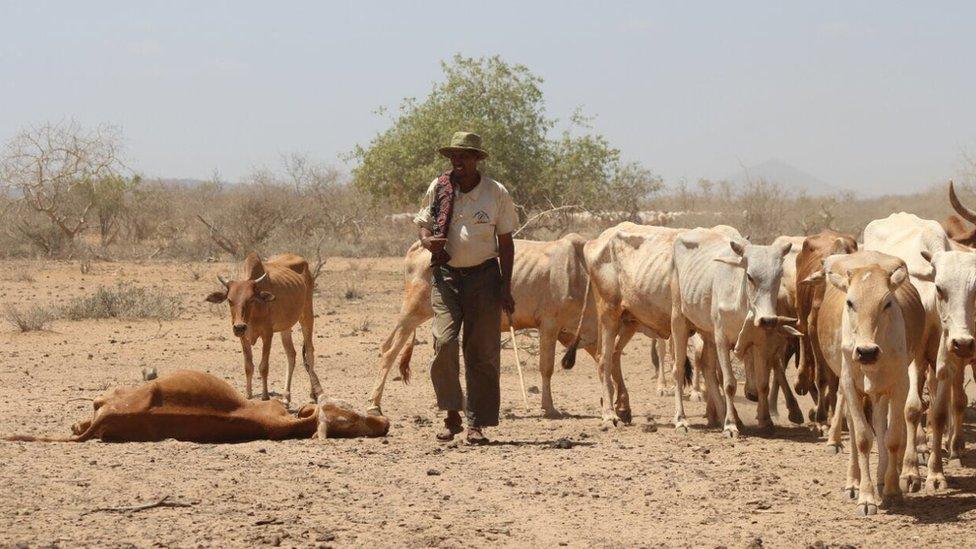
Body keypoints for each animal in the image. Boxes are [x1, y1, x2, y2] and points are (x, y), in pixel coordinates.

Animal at [204, 252, 322, 402]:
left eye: (251, 299)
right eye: (230, 300)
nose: (239, 326)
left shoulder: (267, 334)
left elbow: (263, 366)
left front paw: (265, 395)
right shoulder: (243, 337)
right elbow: (248, 366)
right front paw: (248, 394)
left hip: (306, 314)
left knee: (309, 351)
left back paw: (313, 394)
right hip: (286, 327)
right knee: (291, 354)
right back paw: (286, 395)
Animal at [672, 226, 800, 436]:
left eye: (779, 276)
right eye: (749, 276)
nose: (768, 320)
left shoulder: (760, 343)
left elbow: (763, 383)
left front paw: (765, 421)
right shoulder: (722, 339)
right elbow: (730, 384)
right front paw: (730, 425)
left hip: (707, 333)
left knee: (708, 370)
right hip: (679, 320)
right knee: (679, 369)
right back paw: (681, 420)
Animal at [812, 253, 928, 512]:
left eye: (887, 303)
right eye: (850, 303)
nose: (866, 352)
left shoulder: (899, 385)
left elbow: (892, 438)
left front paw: (892, 489)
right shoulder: (850, 385)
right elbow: (863, 438)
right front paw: (866, 496)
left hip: (880, 392)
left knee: (880, 423)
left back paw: (881, 477)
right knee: (856, 429)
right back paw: (853, 482)